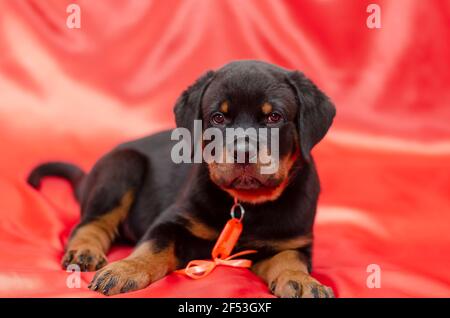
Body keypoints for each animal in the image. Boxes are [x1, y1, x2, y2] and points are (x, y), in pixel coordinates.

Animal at [28, 60, 336, 298]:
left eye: (274, 117)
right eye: (218, 117)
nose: (242, 152)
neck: (247, 205)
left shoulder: (293, 242)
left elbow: (289, 260)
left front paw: (303, 282)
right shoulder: (172, 221)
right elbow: (152, 248)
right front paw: (124, 270)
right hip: (122, 166)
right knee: (91, 223)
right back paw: (85, 251)